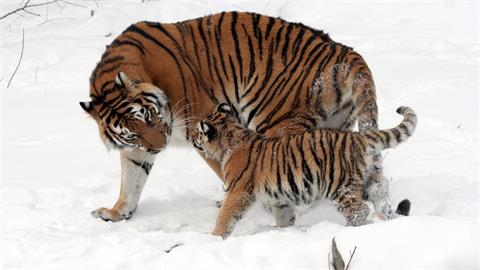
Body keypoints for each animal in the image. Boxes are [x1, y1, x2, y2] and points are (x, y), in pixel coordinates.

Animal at [80, 11, 384, 225]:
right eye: (132, 133)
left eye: (149, 116)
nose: (159, 147)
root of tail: (344, 51)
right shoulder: (137, 149)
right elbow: (131, 179)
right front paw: (117, 212)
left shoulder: (203, 123)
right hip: (336, 126)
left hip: (275, 121)